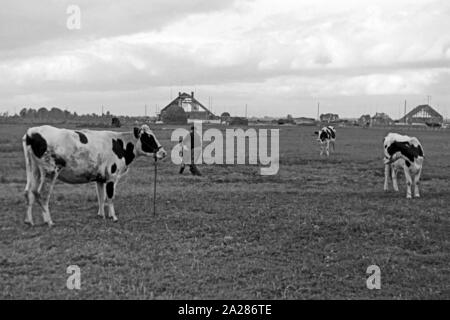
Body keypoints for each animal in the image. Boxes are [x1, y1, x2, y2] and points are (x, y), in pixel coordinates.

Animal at [22, 124, 166, 226]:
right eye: (148, 138)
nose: (163, 153)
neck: (120, 144)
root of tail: (32, 132)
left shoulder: (100, 178)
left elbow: (101, 197)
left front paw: (101, 215)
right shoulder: (112, 177)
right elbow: (110, 197)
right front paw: (114, 217)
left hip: (33, 170)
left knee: (29, 192)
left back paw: (29, 221)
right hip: (50, 172)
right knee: (42, 194)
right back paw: (49, 221)